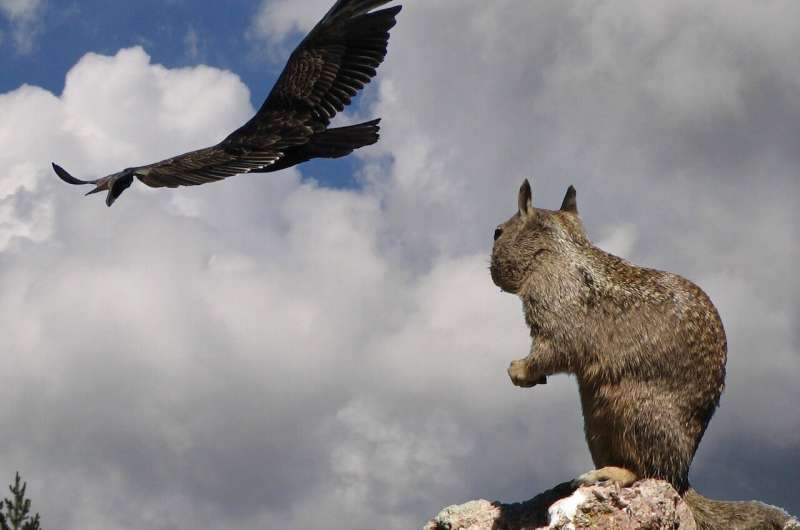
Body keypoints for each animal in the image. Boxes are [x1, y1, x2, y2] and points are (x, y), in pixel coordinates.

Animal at [490, 178, 796, 528]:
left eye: (497, 232)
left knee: (649, 471)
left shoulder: (553, 313)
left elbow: (551, 351)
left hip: (631, 413)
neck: (556, 251)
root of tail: (683, 477)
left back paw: (609, 474)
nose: (492, 273)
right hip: (596, 423)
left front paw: (518, 370)